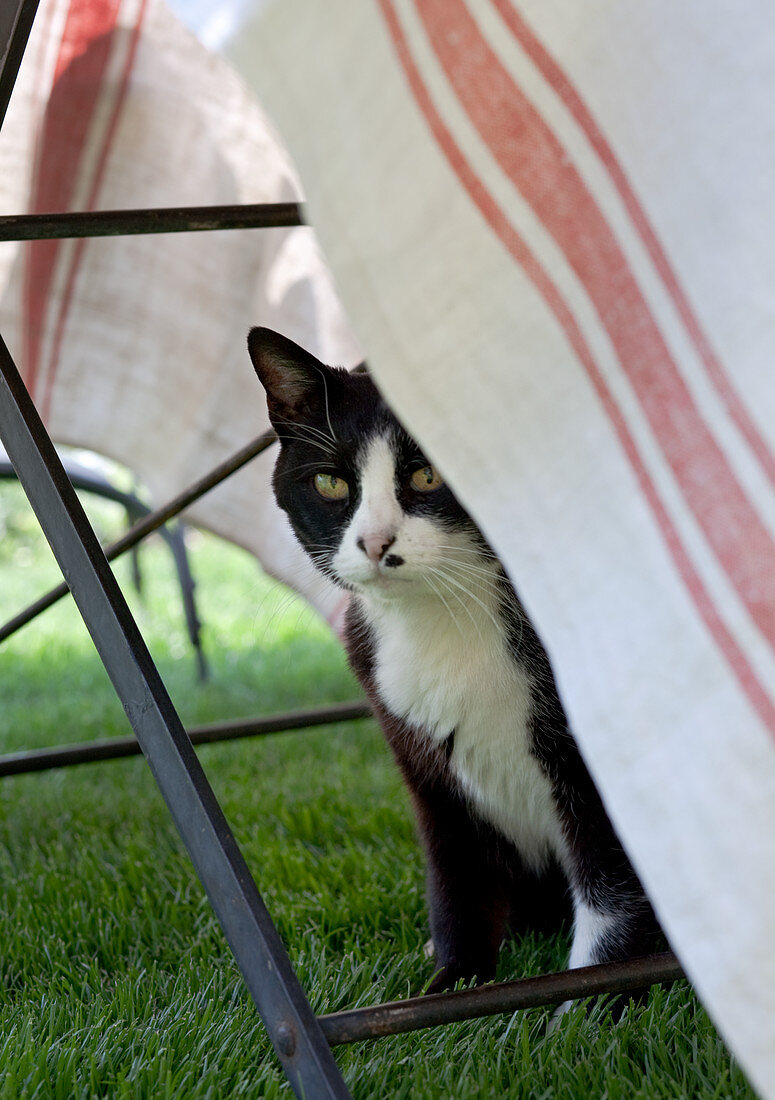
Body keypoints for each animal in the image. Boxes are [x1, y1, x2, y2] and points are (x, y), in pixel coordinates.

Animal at [248, 325, 659, 998]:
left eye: (429, 475)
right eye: (330, 483)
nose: (375, 542)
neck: (443, 621)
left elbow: (613, 896)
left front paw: (592, 1005)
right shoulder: (428, 775)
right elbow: (458, 886)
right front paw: (451, 985)